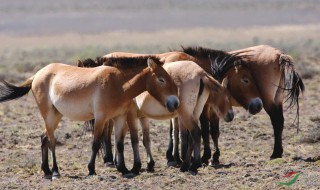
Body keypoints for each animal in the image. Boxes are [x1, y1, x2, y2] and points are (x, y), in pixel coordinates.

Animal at [0, 55, 180, 179]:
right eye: (161, 79)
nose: (175, 103)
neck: (118, 84)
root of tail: (37, 74)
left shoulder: (120, 117)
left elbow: (120, 144)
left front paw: (124, 170)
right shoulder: (101, 118)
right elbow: (95, 144)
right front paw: (91, 169)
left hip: (56, 115)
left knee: (44, 137)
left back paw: (46, 171)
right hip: (48, 114)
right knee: (51, 141)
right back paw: (56, 172)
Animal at [79, 56, 234, 175]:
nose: (230, 115)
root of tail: (201, 73)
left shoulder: (130, 115)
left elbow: (133, 139)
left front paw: (134, 167)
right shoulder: (142, 116)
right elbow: (145, 139)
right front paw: (148, 164)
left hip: (185, 114)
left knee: (195, 132)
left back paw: (192, 165)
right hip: (194, 113)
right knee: (193, 135)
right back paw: (187, 165)